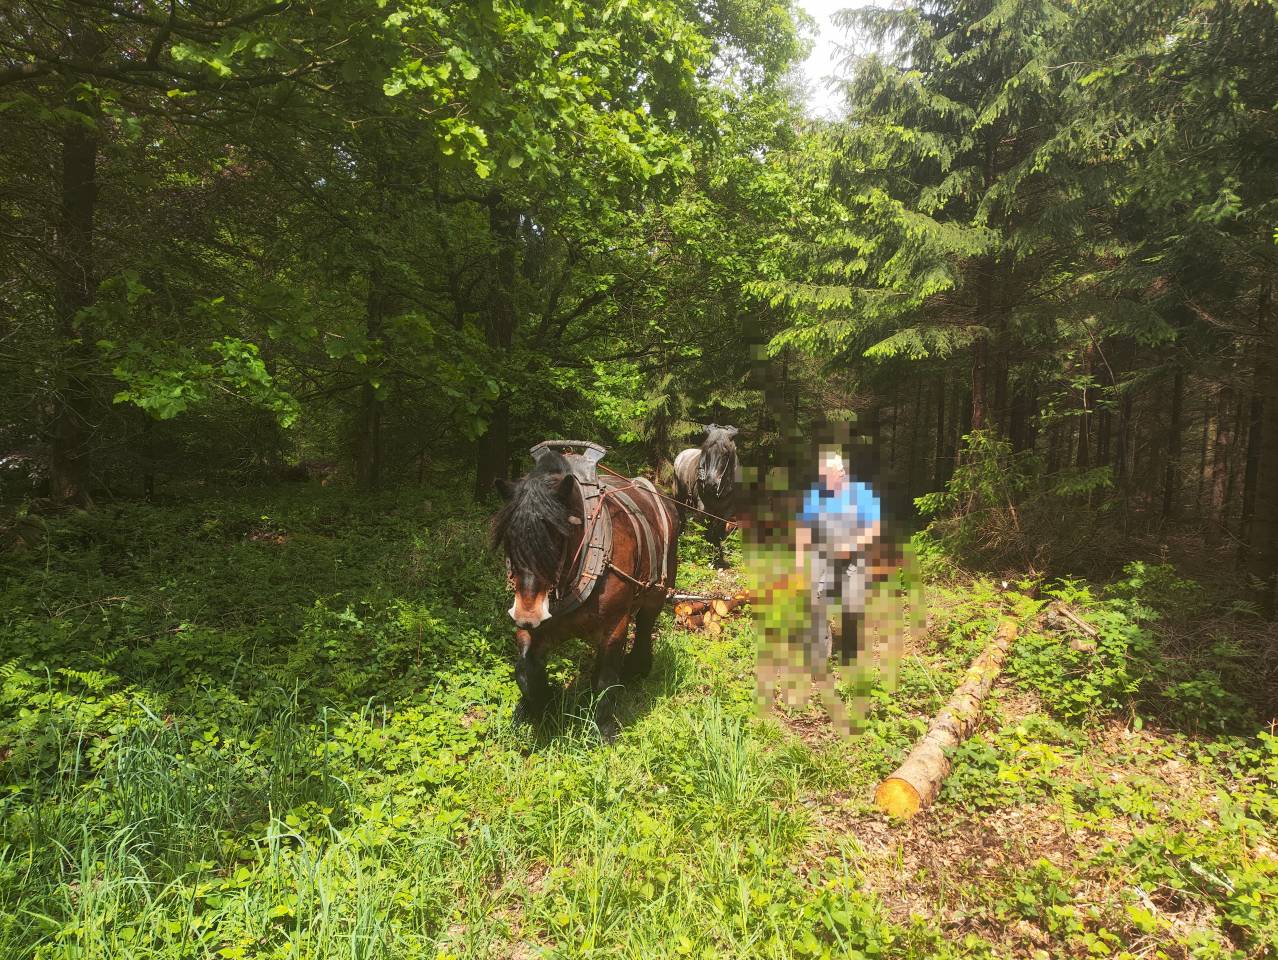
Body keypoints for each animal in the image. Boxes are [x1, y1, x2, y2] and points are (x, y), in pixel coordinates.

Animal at [491, 445, 679, 740]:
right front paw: (539, 706)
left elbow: (607, 678)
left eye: (558, 536)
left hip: (657, 592)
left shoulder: (615, 625)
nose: (527, 614)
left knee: (645, 625)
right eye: (509, 539)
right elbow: (524, 670)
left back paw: (637, 668)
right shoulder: (534, 626)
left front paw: (603, 728)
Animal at [673, 424, 739, 567]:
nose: (710, 484)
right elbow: (702, 529)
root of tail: (682, 454)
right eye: (706, 451)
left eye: (726, 454)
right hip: (678, 495)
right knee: (682, 517)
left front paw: (718, 557)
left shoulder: (726, 512)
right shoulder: (703, 508)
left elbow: (717, 531)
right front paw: (702, 553)